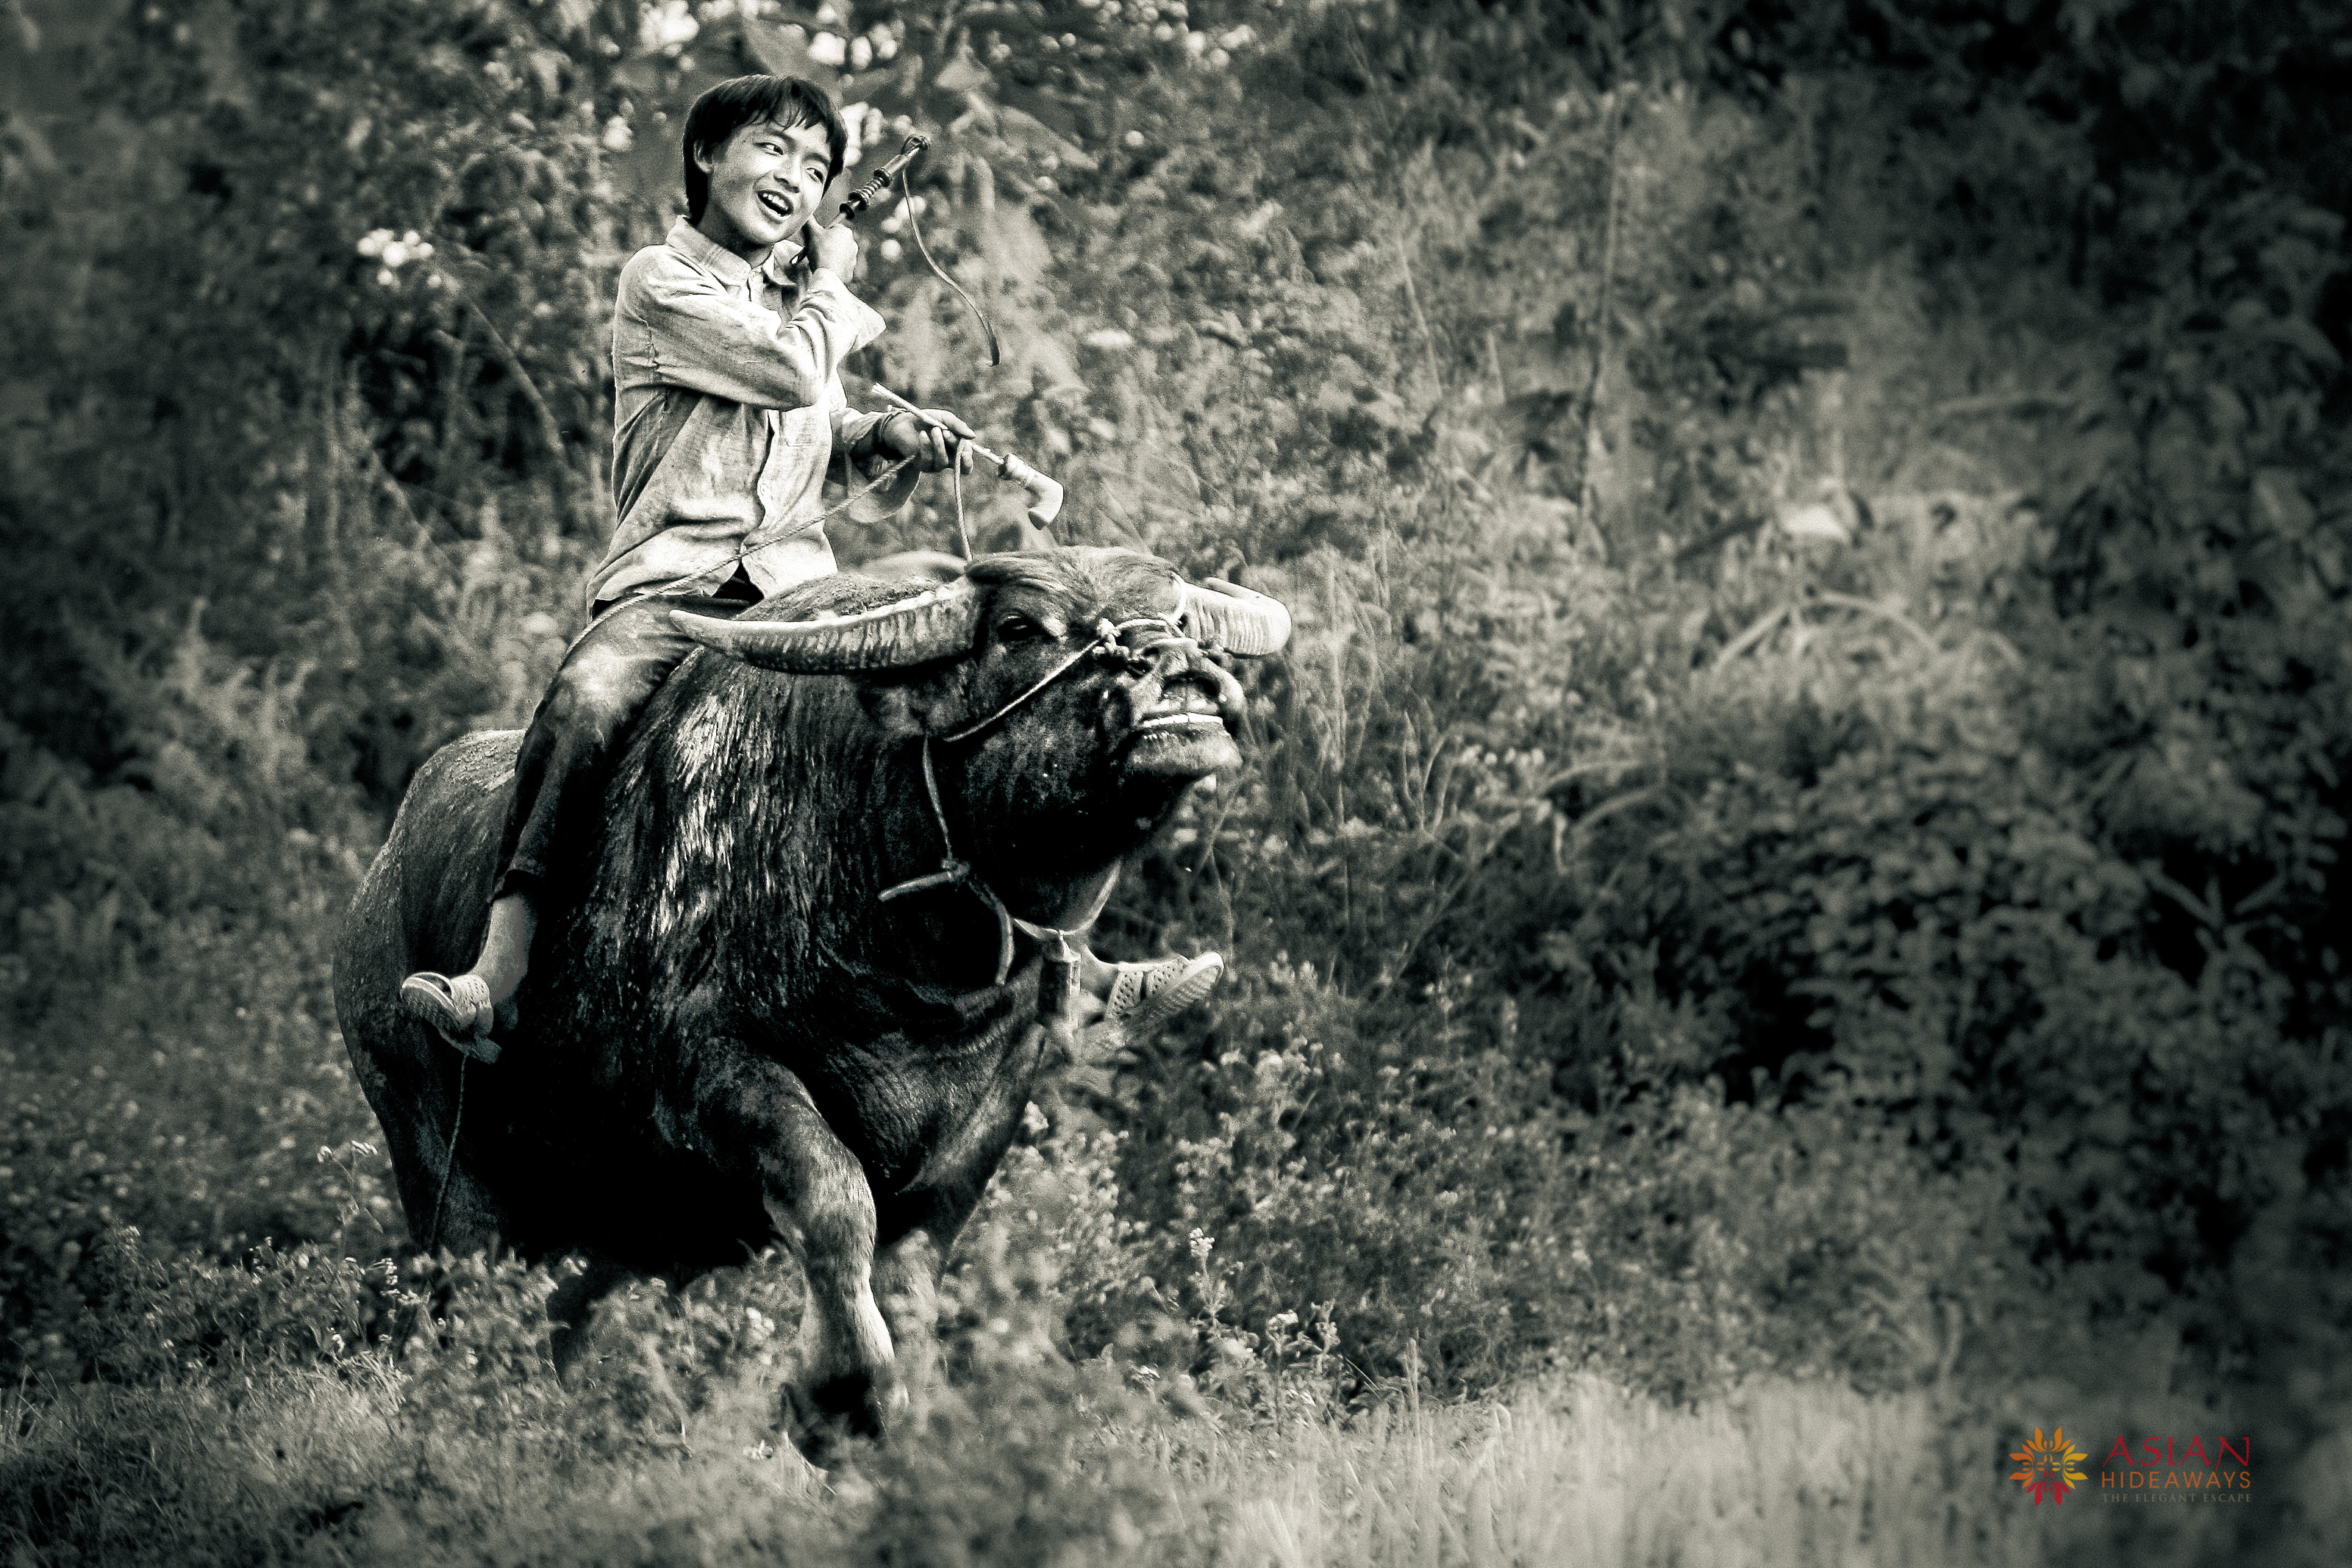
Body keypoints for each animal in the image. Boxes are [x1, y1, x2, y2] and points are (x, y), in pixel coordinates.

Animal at [332, 546, 1290, 1453]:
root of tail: (374, 887)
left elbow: (908, 1275)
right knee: (466, 1323)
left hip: (591, 1235)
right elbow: (833, 1200)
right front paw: (841, 1400)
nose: (1182, 672)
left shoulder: (990, 1107)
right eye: (1019, 628)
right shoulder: (716, 1075)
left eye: (1175, 615)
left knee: (549, 1330)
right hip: (444, 1179)